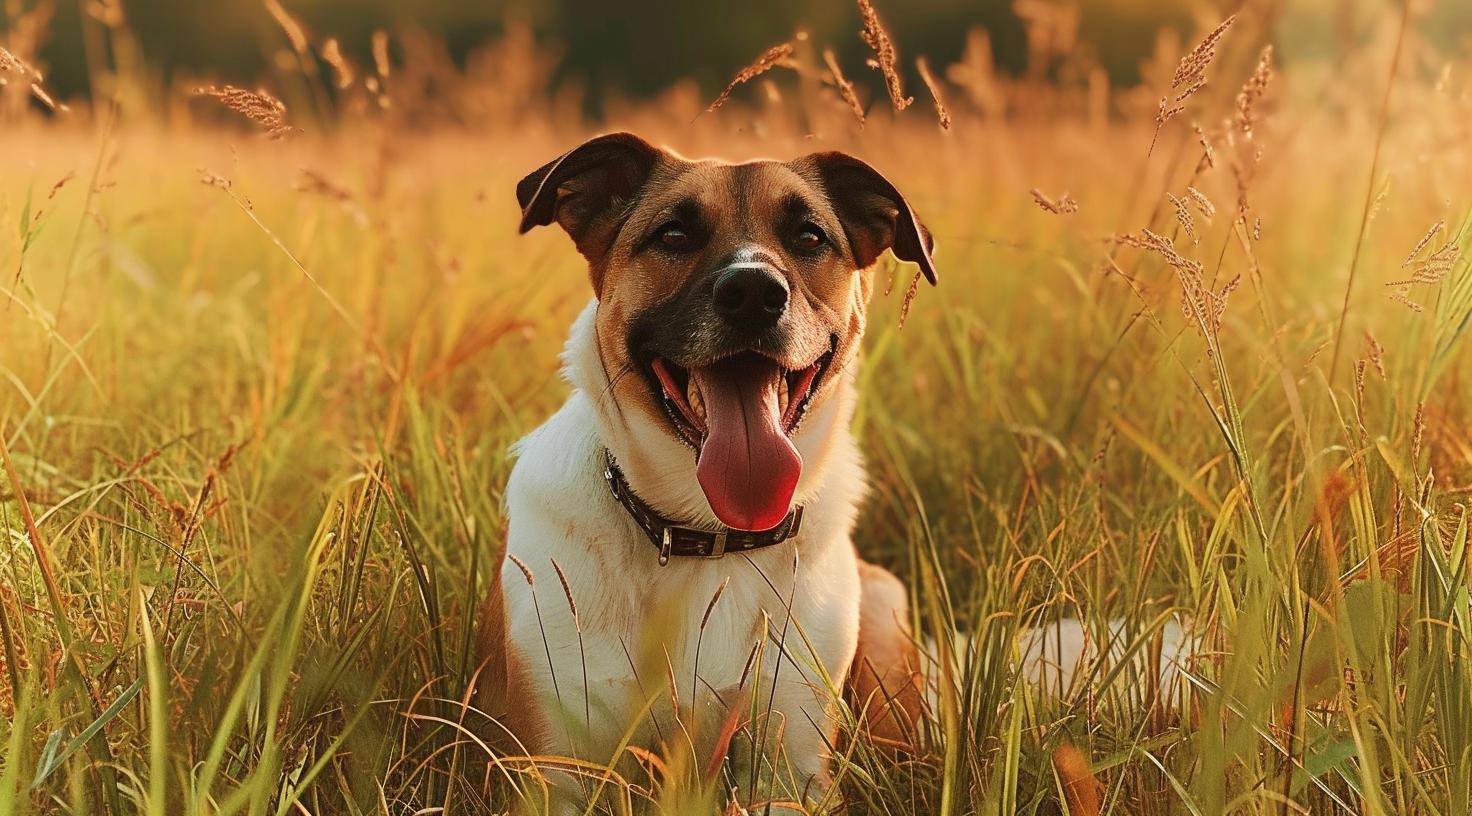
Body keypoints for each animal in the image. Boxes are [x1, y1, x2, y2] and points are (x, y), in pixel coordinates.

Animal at [471, 133, 930, 807]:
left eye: (809, 237)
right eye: (675, 234)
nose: (754, 295)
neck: (706, 538)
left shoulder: (789, 768)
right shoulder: (554, 767)